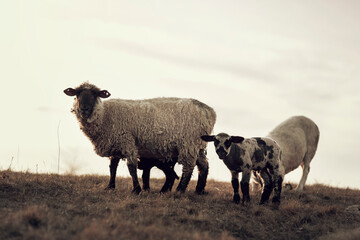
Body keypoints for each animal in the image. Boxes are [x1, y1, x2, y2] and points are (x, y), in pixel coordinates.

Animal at [64, 81, 217, 194]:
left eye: (95, 94)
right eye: (77, 94)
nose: (84, 108)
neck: (105, 115)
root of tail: (209, 111)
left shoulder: (127, 141)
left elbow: (131, 167)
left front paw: (136, 190)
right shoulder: (116, 143)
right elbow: (112, 167)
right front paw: (110, 186)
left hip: (189, 142)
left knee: (189, 167)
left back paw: (179, 191)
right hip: (198, 144)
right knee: (204, 165)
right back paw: (199, 190)